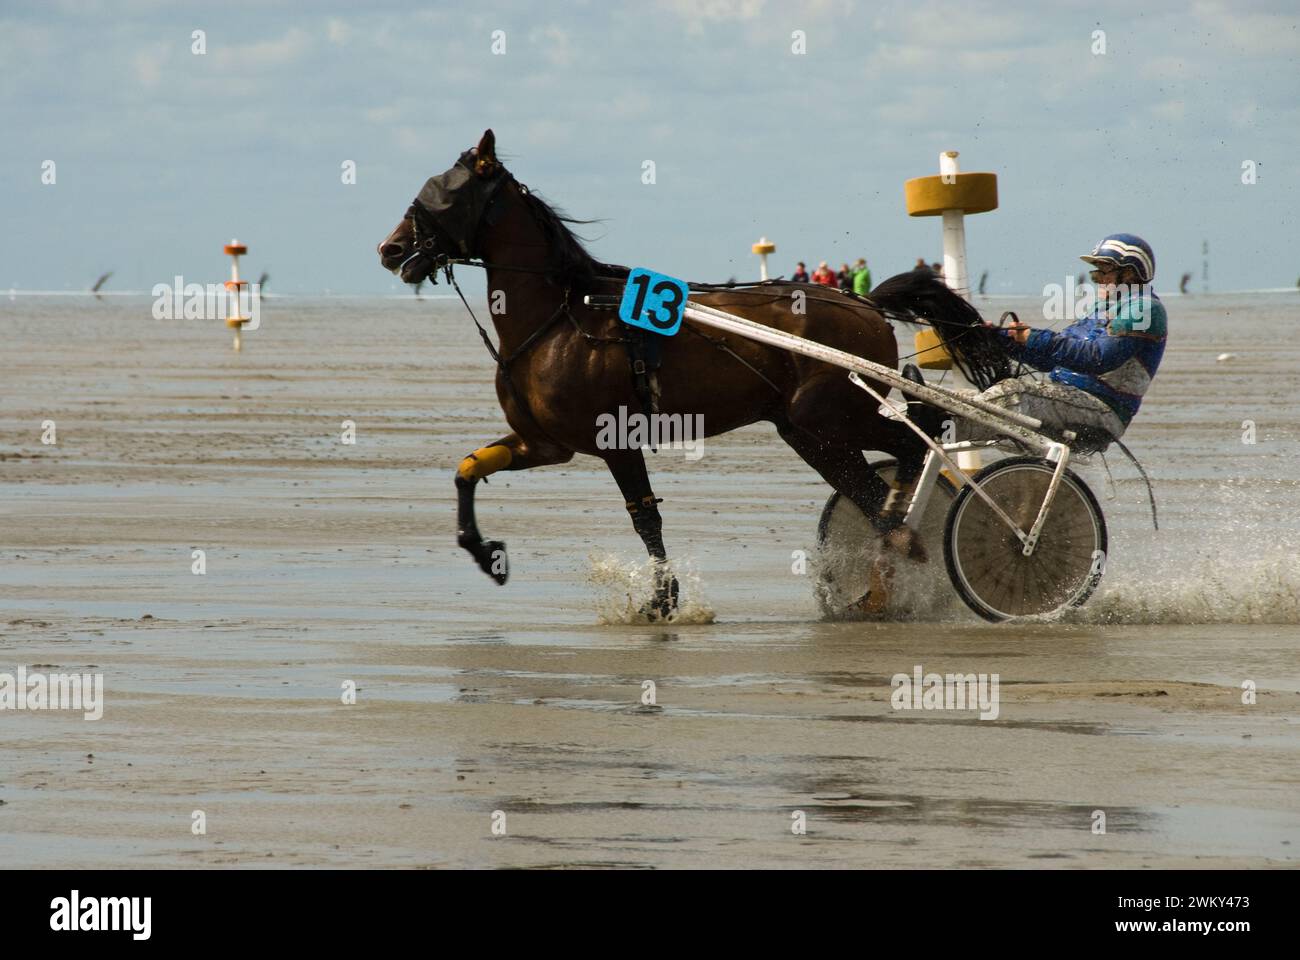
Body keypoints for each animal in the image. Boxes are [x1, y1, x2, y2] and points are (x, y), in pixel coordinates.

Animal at [377, 130, 1003, 616]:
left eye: (442, 193)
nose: (390, 248)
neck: (561, 317)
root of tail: (864, 303)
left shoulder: (615, 440)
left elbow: (645, 520)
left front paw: (663, 599)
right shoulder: (544, 443)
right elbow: (467, 470)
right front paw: (487, 555)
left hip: (827, 412)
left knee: (919, 440)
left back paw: (908, 531)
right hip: (810, 430)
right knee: (880, 478)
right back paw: (886, 564)